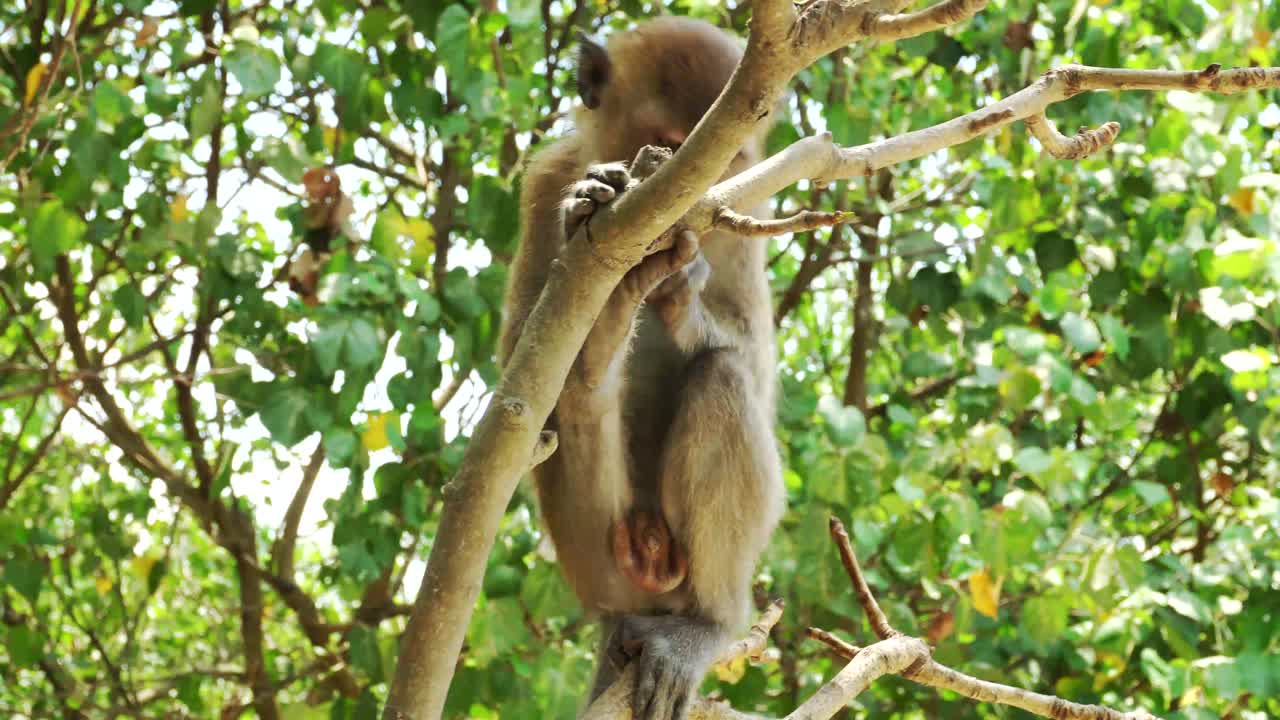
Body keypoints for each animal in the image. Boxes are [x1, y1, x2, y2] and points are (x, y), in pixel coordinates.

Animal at [498, 17, 784, 720]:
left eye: (723, 164)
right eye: (670, 148)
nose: (678, 209)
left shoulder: (746, 212)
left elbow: (753, 364)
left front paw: (682, 293)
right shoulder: (544, 178)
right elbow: (520, 377)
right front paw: (589, 205)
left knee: (722, 377)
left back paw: (706, 625)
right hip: (595, 556)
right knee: (566, 408)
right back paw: (603, 334)